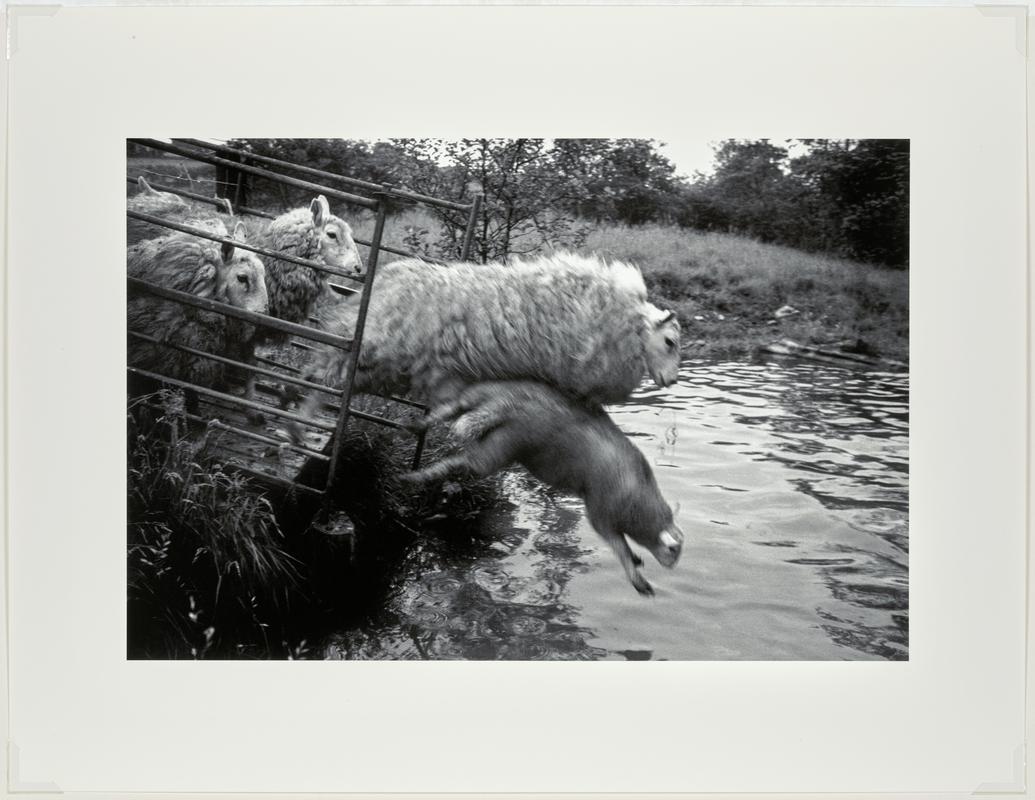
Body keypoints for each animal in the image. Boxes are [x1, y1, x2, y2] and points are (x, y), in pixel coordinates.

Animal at [287, 251, 683, 434]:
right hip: (368, 352)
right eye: (670, 341)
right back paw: (295, 425)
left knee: (330, 383)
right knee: (322, 379)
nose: (673, 380)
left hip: (388, 367)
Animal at [405, 378, 687, 591]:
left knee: (449, 409)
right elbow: (619, 548)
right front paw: (637, 576)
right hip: (500, 448)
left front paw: (637, 560)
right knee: (460, 463)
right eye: (674, 551)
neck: (636, 493)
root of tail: (510, 406)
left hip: (481, 400)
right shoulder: (601, 513)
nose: (673, 567)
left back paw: (418, 426)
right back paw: (414, 476)